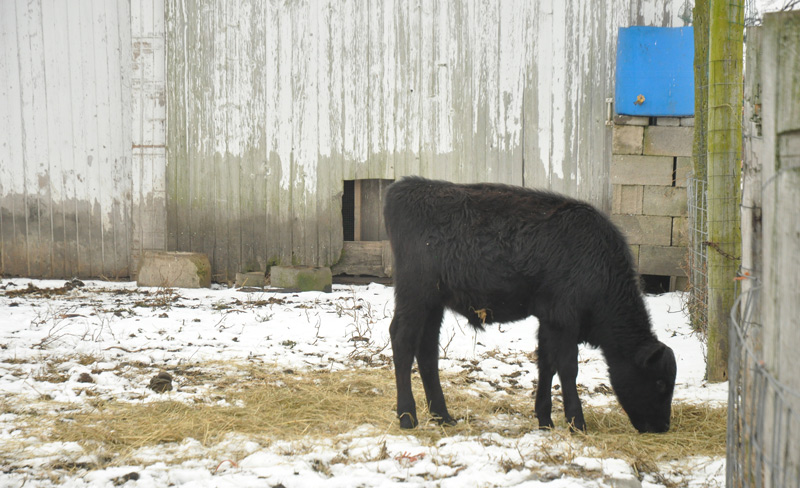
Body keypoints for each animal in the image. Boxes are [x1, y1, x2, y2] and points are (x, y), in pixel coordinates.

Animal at [383, 176, 676, 433]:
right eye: (660, 382)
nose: (662, 427)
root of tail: (404, 187)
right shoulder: (564, 320)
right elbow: (568, 368)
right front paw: (577, 423)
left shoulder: (548, 320)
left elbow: (546, 364)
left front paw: (545, 419)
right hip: (414, 296)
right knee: (402, 341)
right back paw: (408, 417)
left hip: (433, 304)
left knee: (427, 350)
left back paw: (442, 416)